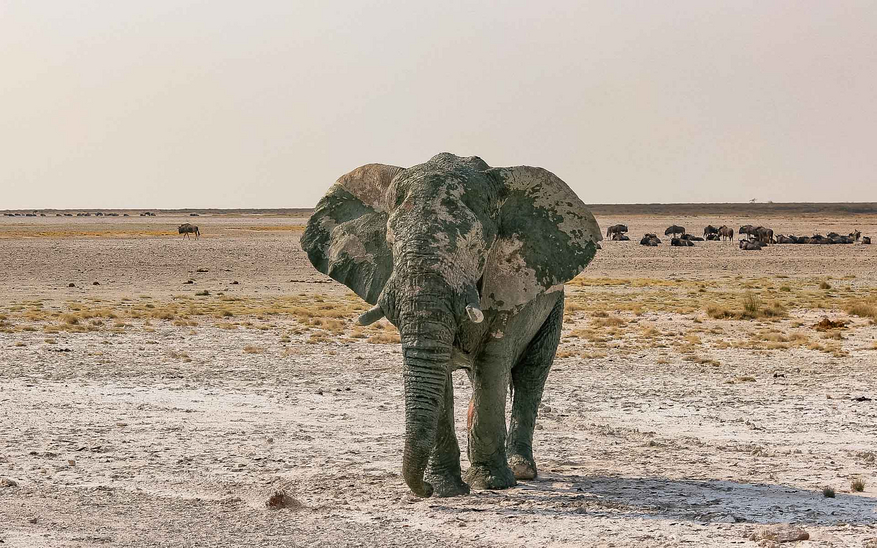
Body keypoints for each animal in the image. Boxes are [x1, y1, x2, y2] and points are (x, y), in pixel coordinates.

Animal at [302, 153, 604, 496]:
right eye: (390, 242)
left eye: (475, 247)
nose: (424, 490)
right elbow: (440, 368)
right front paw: (446, 488)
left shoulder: (510, 282)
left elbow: (493, 361)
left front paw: (488, 483)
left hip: (554, 304)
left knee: (529, 375)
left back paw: (522, 470)